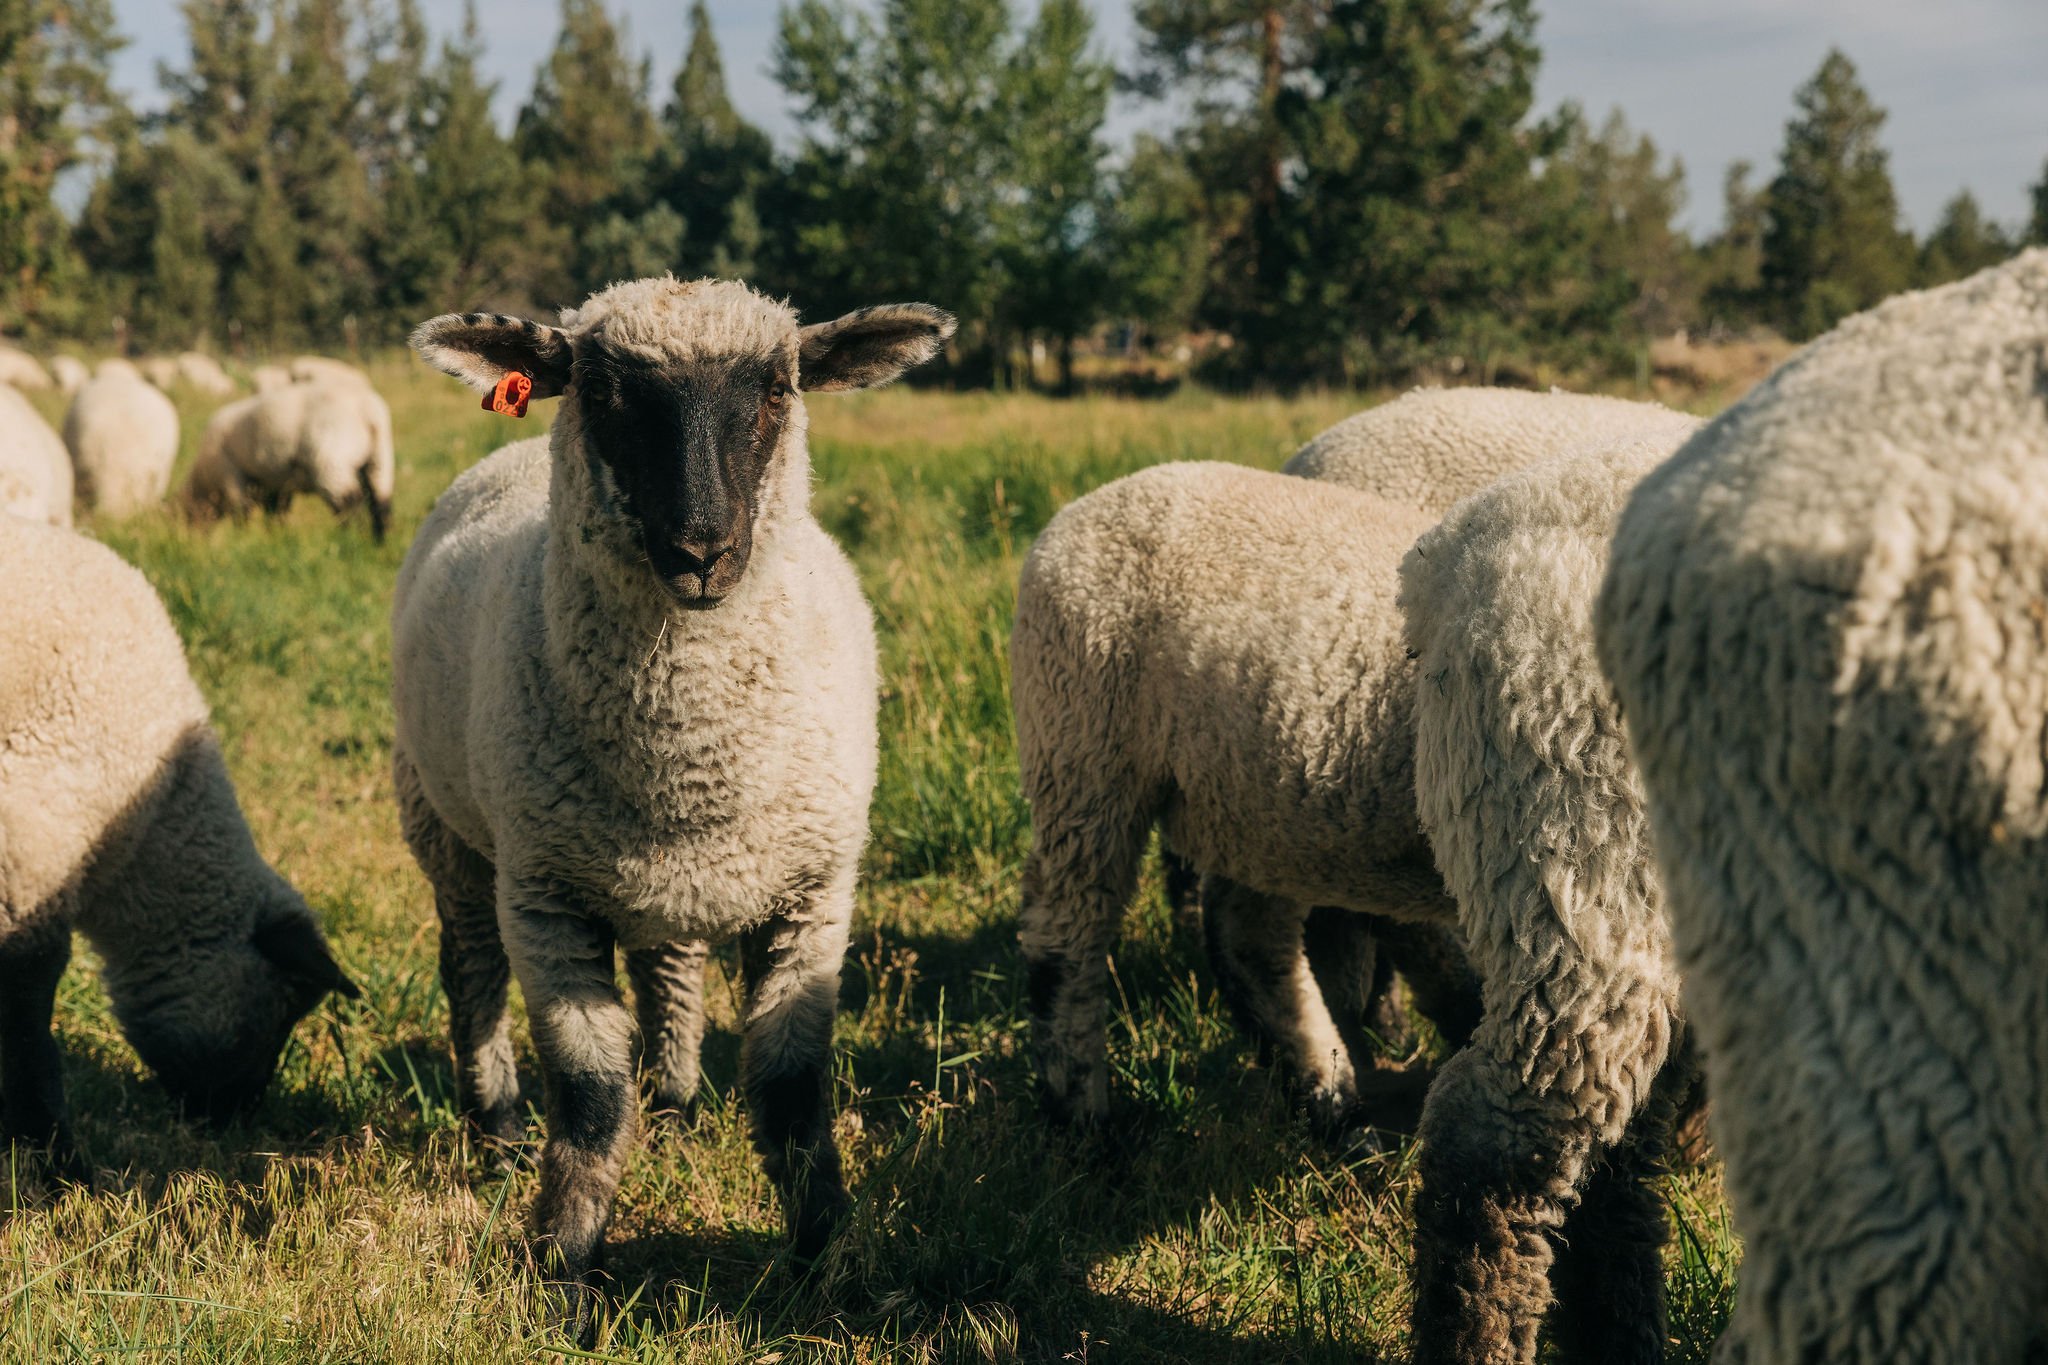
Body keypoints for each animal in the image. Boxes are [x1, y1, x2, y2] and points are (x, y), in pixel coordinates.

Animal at [188, 382, 395, 541]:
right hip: (380, 458)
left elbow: (242, 511)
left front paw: (242, 537)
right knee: (380, 502)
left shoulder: (231, 473)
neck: (204, 478)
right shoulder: (275, 483)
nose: (197, 539)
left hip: (331, 459)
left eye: (189, 516)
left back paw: (351, 538)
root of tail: (368, 413)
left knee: (349, 503)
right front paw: (276, 536)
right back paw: (379, 542)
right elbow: (276, 511)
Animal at [394, 278, 954, 1292]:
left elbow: (790, 1090)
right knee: (471, 967)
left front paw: (822, 1258)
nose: (702, 551)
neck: (688, 763)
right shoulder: (545, 897)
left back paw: (677, 1108)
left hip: (664, 883)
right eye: (603, 392)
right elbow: (587, 1100)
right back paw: (497, 1130)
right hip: (444, 822)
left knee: (669, 968)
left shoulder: (813, 894)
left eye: (778, 388)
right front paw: (564, 1266)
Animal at [1014, 460, 1462, 1136]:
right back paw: (1085, 1118)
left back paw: (1324, 1093)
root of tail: (1083, 507)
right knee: (1065, 940)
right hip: (1084, 749)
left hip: (1259, 804)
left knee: (1250, 939)